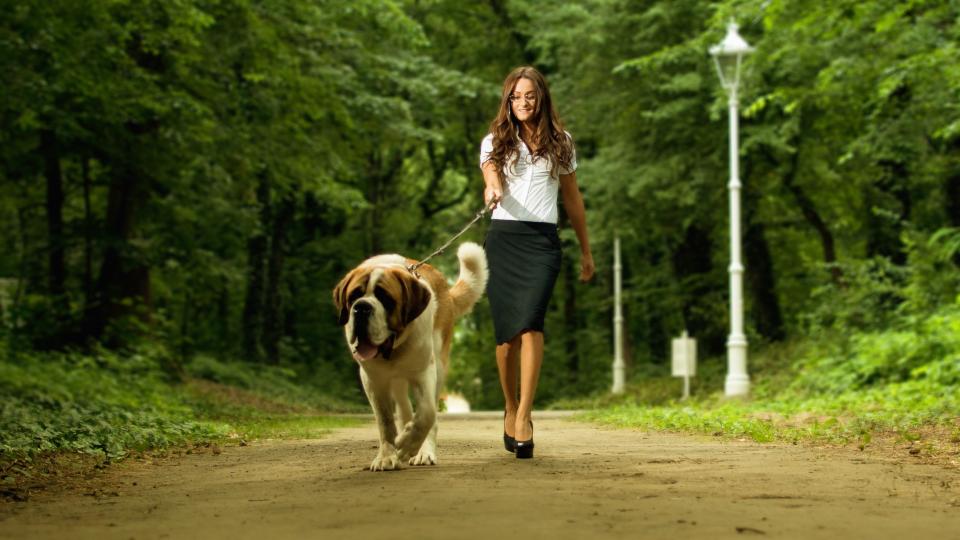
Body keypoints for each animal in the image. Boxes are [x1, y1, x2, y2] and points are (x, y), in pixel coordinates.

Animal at [336, 243, 488, 470]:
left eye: (385, 298)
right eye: (354, 295)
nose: (361, 307)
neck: (394, 349)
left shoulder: (424, 372)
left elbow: (427, 414)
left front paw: (408, 445)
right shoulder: (372, 380)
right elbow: (385, 420)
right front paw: (387, 456)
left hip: (439, 365)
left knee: (429, 414)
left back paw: (423, 452)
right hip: (397, 380)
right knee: (403, 406)